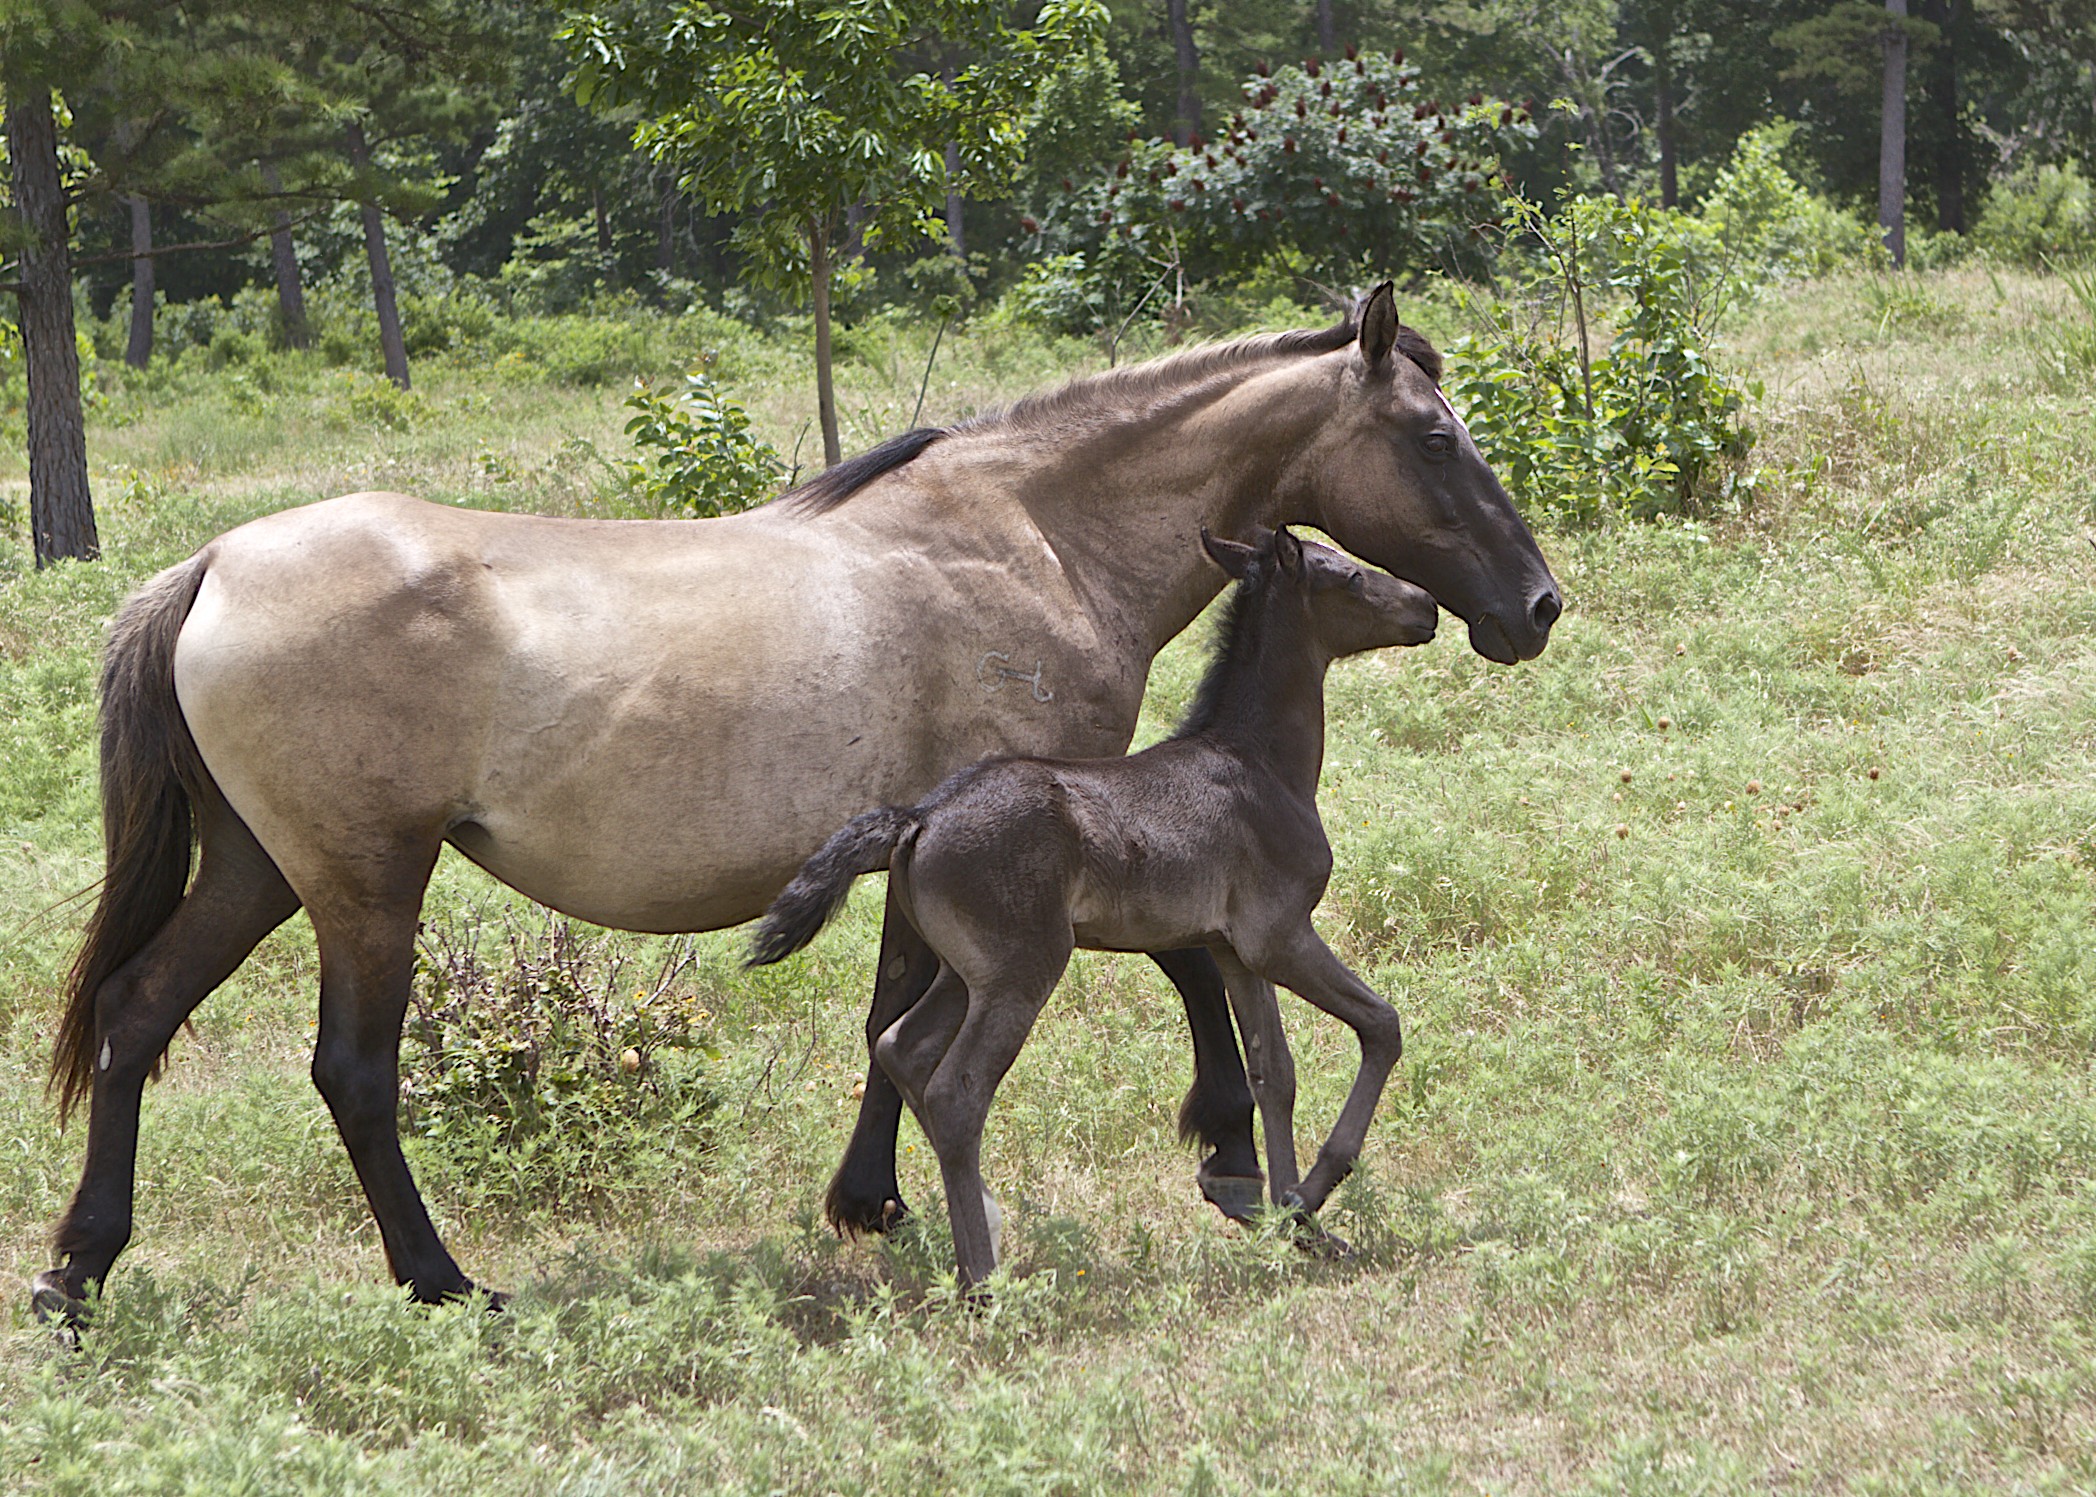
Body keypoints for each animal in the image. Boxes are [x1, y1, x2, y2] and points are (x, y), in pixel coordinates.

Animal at [750, 527, 1435, 1288]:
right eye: (1350, 576)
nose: (1428, 606)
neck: (1260, 765)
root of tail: (918, 818)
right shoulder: (1280, 935)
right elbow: (1382, 1025)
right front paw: (1309, 1195)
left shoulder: (1233, 948)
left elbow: (1274, 1073)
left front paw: (1297, 1226)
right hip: (1023, 971)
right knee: (957, 1090)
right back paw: (984, 1280)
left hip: (967, 975)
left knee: (903, 1046)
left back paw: (979, 1234)